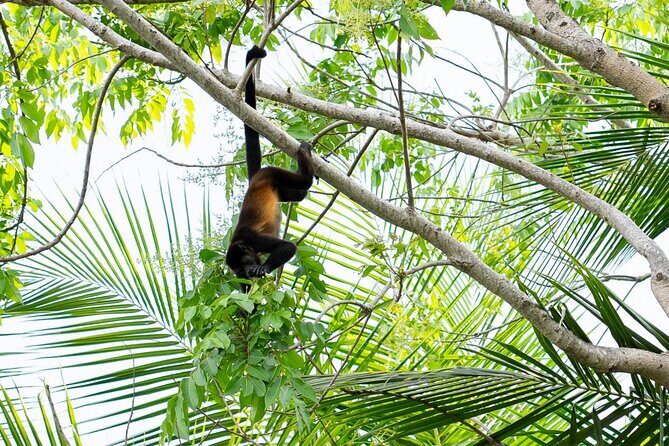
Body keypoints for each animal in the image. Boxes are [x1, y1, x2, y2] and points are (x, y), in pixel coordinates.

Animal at [225, 45, 314, 286]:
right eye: (238, 271)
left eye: (245, 264)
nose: (247, 273)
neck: (242, 243)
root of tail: (255, 179)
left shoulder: (254, 239)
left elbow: (288, 246)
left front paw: (264, 267)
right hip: (279, 187)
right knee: (300, 194)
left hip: (270, 173)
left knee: (304, 182)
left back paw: (305, 160)